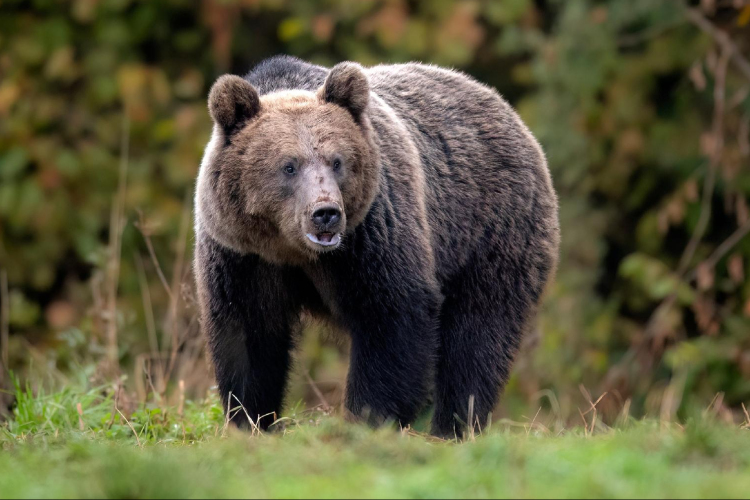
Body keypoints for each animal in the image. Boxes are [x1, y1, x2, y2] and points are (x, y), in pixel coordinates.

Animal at [194, 55, 560, 438]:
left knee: (477, 333)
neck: (294, 251)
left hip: (489, 230)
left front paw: (366, 418)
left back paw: (453, 425)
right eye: (289, 166)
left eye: (337, 161)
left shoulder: (372, 235)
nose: (326, 213)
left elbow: (392, 316)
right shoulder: (243, 255)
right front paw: (251, 420)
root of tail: (506, 109)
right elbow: (248, 334)